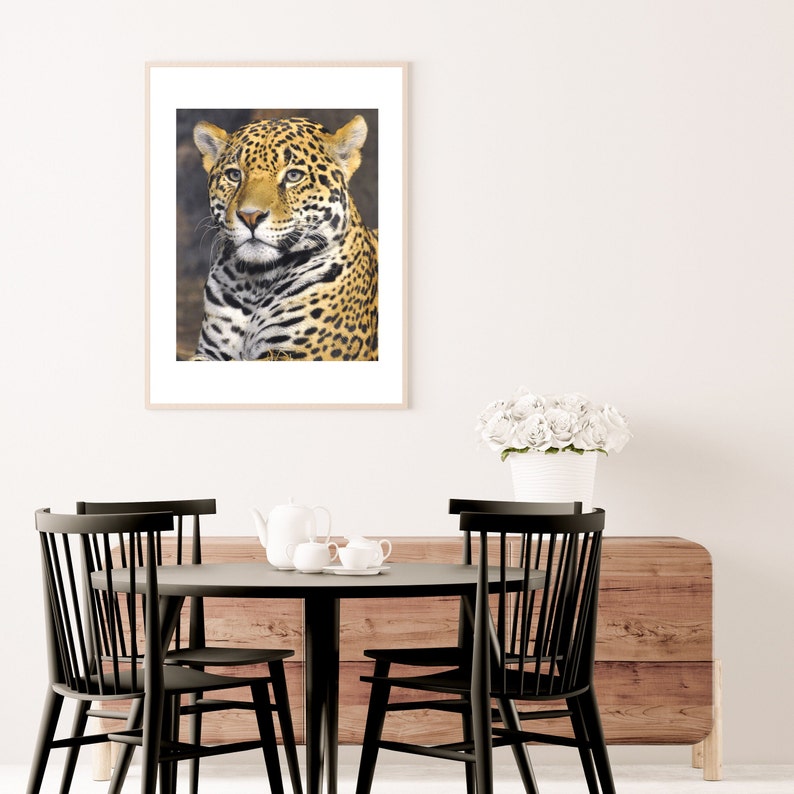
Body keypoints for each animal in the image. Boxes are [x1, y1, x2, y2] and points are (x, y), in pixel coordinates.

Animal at [190, 115, 378, 361]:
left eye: (293, 176)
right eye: (234, 175)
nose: (250, 216)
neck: (254, 283)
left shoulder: (298, 354)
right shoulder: (210, 352)